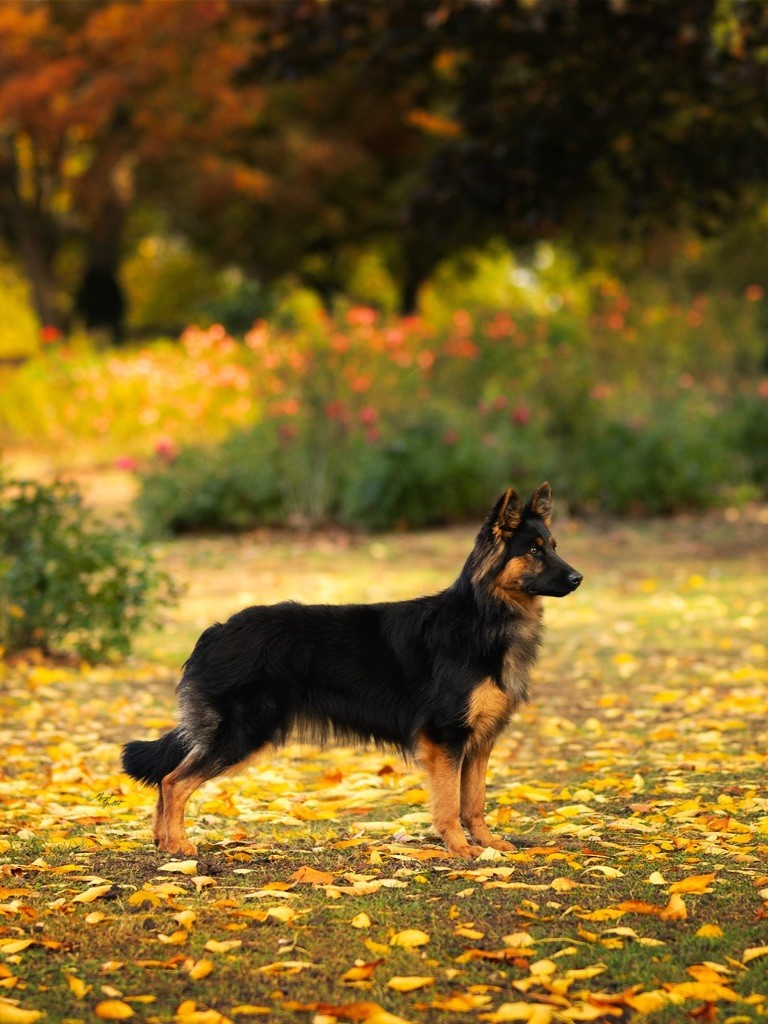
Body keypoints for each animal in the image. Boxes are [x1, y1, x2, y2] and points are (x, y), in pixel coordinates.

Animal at [123, 483, 581, 860]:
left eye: (554, 545)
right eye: (534, 551)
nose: (578, 578)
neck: (484, 617)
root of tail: (215, 631)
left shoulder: (480, 741)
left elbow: (475, 801)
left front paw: (486, 843)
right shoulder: (446, 738)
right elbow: (450, 804)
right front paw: (459, 848)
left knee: (166, 778)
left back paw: (163, 842)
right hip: (242, 733)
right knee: (173, 781)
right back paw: (180, 846)